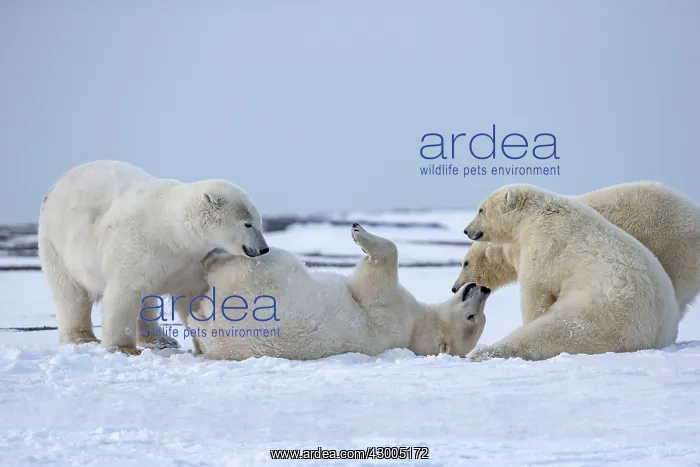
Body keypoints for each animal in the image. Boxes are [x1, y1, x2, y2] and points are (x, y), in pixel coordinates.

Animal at [38, 160, 269, 355]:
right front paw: (122, 348)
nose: (263, 248)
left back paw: (161, 340)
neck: (171, 233)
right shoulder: (136, 246)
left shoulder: (190, 262)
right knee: (70, 294)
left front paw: (202, 343)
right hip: (56, 245)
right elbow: (124, 294)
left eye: (260, 223)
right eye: (248, 224)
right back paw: (81, 337)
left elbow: (192, 298)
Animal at [190, 224, 491, 360]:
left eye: (473, 318)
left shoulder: (389, 310)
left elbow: (372, 280)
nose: (484, 288)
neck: (416, 330)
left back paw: (212, 258)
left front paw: (360, 233)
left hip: (263, 278)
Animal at [463, 183, 681, 361]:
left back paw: (483, 353)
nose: (466, 230)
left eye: (481, 209)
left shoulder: (544, 244)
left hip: (603, 308)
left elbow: (536, 291)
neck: (534, 215)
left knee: (557, 330)